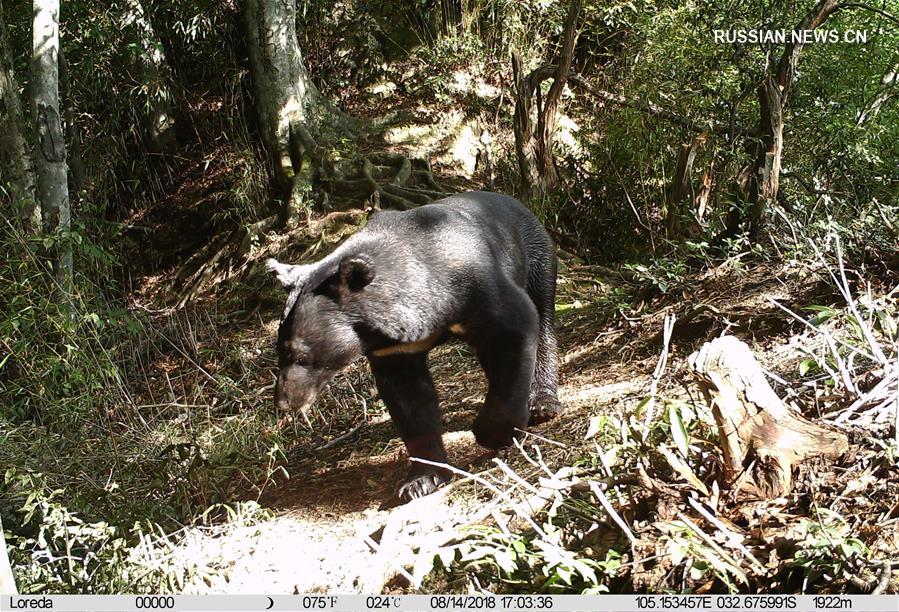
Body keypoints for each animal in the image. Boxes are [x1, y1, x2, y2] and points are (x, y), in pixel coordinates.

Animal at [268, 191, 564, 502]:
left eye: (300, 354)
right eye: (279, 351)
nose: (284, 402)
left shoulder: (478, 287)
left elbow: (515, 327)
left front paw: (492, 432)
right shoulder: (394, 349)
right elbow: (409, 399)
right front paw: (421, 480)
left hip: (537, 259)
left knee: (542, 320)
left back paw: (543, 403)